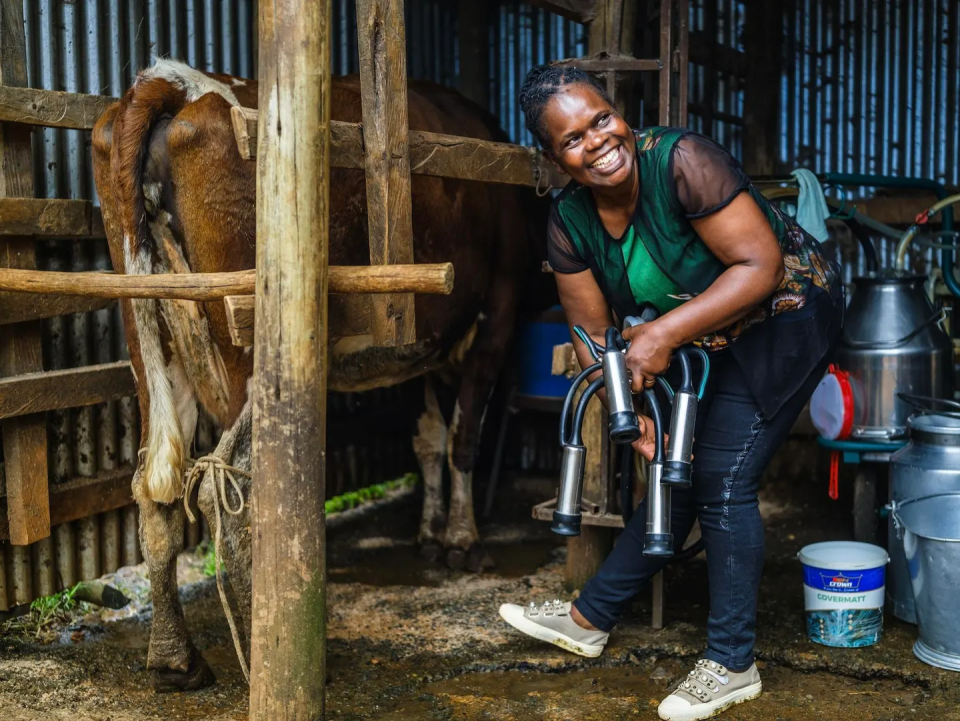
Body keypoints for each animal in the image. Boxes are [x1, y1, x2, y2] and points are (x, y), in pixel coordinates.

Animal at [92, 59, 556, 688]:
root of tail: (171, 82)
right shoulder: (495, 319)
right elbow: (462, 439)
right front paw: (462, 541)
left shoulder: (424, 348)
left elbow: (429, 438)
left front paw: (430, 533)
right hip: (247, 341)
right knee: (232, 488)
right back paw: (264, 648)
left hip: (149, 331)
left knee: (154, 484)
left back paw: (174, 658)